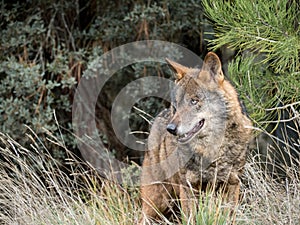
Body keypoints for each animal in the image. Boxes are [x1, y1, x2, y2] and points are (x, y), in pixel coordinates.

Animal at [139, 52, 252, 223]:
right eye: (176, 105)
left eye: (194, 101)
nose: (171, 129)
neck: (212, 152)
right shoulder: (189, 187)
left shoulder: (232, 184)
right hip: (157, 204)